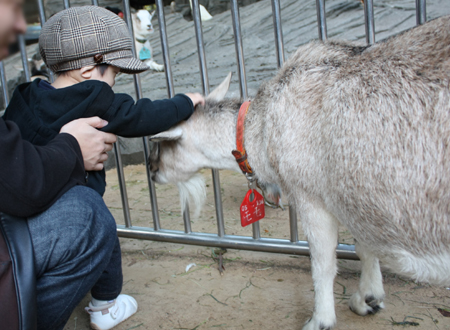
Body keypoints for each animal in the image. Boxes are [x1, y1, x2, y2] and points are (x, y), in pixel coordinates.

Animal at [149, 16, 450, 330]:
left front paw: (321, 320)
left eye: (161, 144)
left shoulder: (311, 194)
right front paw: (368, 298)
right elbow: (365, 246)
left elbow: (323, 263)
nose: (150, 169)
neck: (260, 128)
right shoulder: (352, 193)